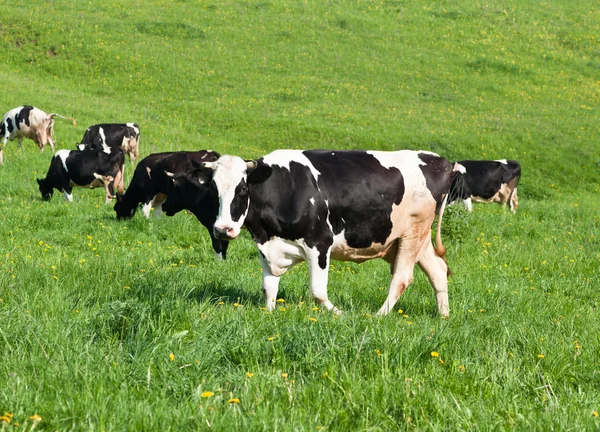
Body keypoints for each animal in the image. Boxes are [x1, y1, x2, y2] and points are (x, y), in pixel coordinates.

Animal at [166, 150, 458, 316]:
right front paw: (268, 317)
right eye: (214, 189)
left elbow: (317, 292)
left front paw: (341, 314)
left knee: (402, 278)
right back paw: (444, 317)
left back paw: (378, 317)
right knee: (438, 270)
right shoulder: (266, 245)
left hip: (413, 231)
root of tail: (441, 160)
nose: (222, 229)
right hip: (407, 239)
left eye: (242, 189)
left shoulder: (319, 243)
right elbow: (268, 289)